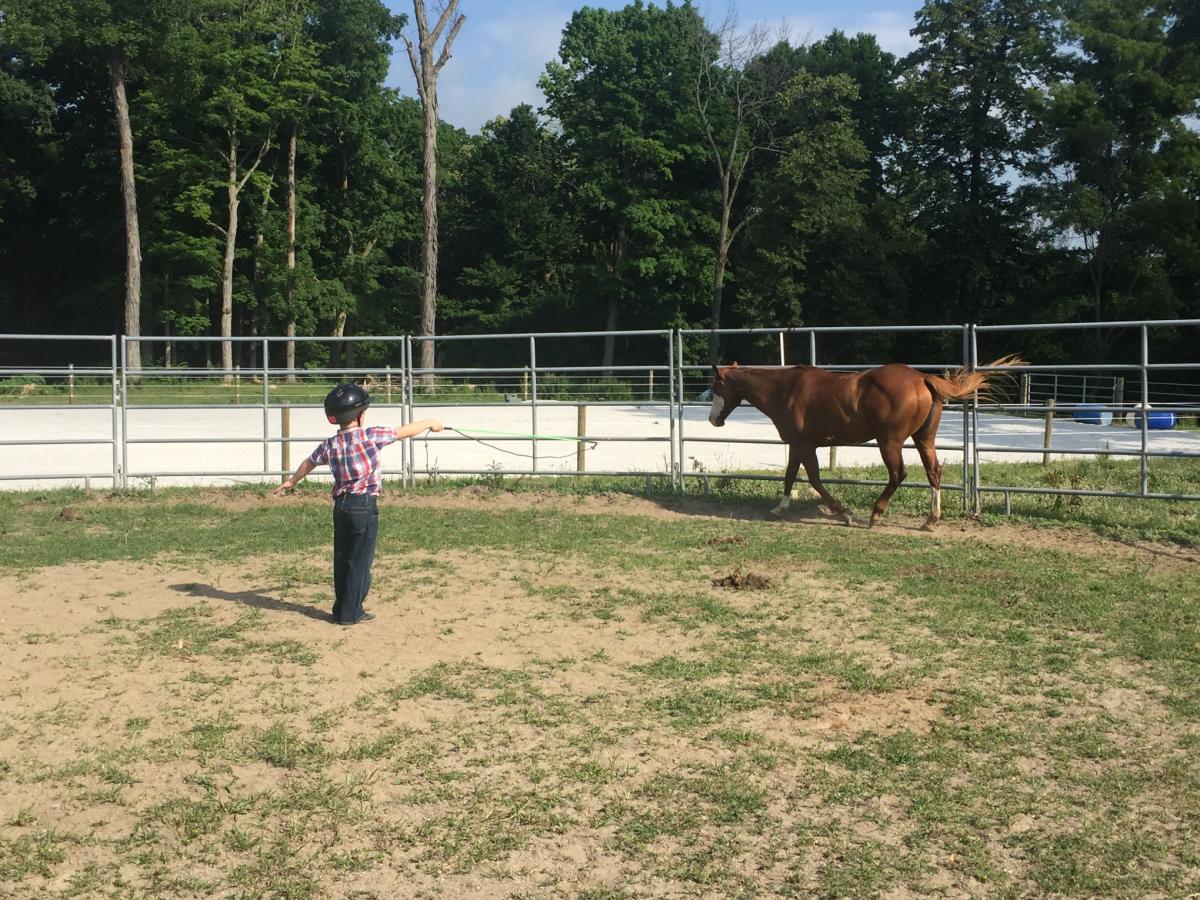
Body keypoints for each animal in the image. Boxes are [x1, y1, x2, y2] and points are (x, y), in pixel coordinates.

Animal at [706, 357, 1019, 529]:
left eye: (716, 387)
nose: (713, 420)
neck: (787, 390)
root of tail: (922, 378)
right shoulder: (797, 445)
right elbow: (790, 475)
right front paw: (780, 508)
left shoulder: (805, 446)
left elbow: (814, 479)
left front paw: (844, 513)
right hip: (923, 439)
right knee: (933, 472)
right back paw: (931, 520)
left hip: (889, 442)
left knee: (898, 474)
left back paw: (876, 514)